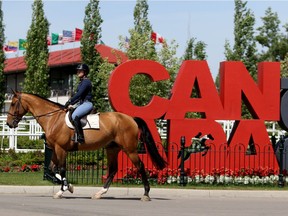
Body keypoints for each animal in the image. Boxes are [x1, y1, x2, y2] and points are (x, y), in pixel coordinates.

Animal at [5, 91, 168, 201]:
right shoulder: (56, 150)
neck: (53, 118)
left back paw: (146, 194)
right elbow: (52, 169)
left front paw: (63, 189)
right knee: (113, 170)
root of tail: (131, 119)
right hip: (112, 148)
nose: (9, 124)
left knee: (140, 166)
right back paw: (99, 193)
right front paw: (68, 187)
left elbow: (61, 169)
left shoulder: (61, 149)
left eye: (13, 104)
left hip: (130, 150)